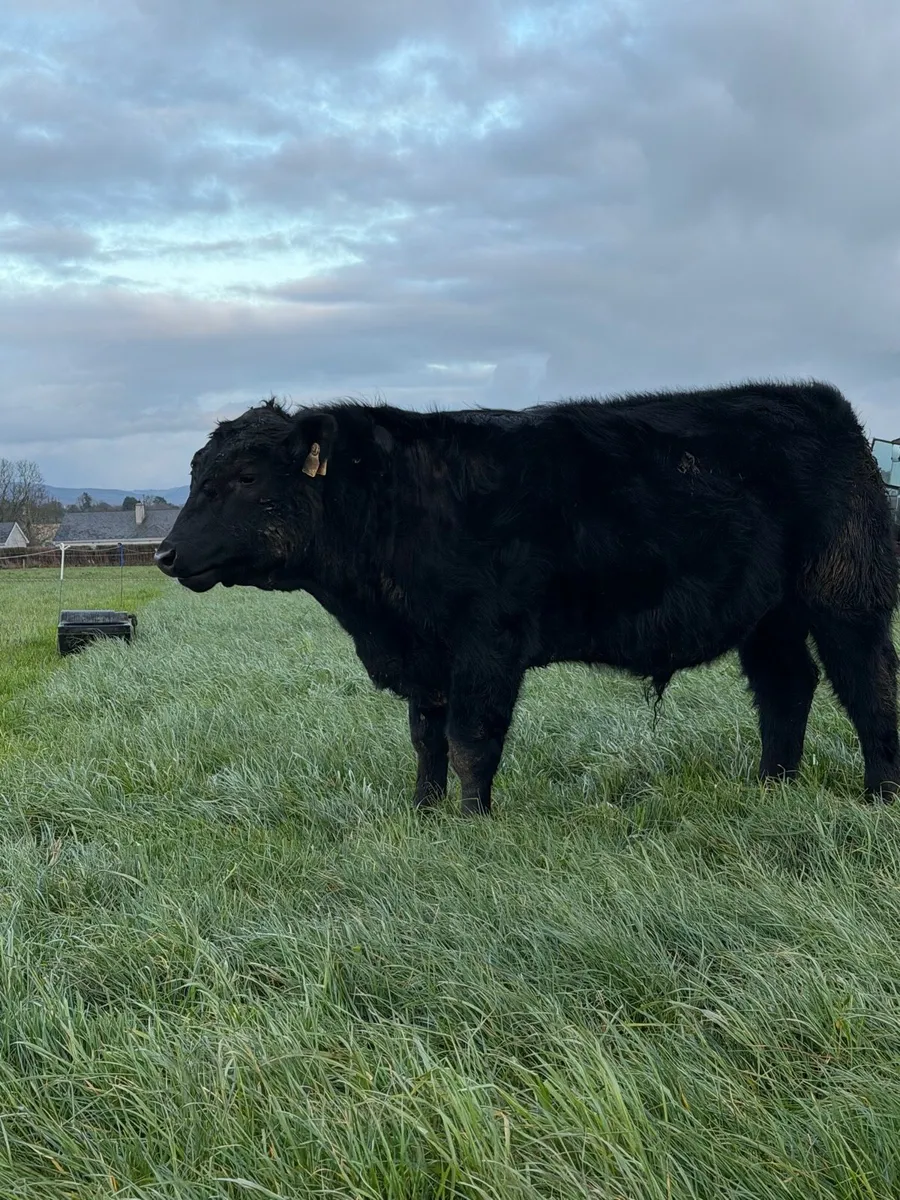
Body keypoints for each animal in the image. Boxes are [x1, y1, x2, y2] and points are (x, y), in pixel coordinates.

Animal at [155, 380, 900, 814]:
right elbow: (426, 739)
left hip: (845, 596)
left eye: (246, 476)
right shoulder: (427, 655)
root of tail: (819, 401)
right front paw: (423, 813)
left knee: (869, 687)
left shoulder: (487, 642)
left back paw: (879, 796)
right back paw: (774, 787)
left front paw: (472, 820)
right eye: (196, 472)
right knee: (786, 687)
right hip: (769, 616)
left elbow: (470, 739)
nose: (165, 553)